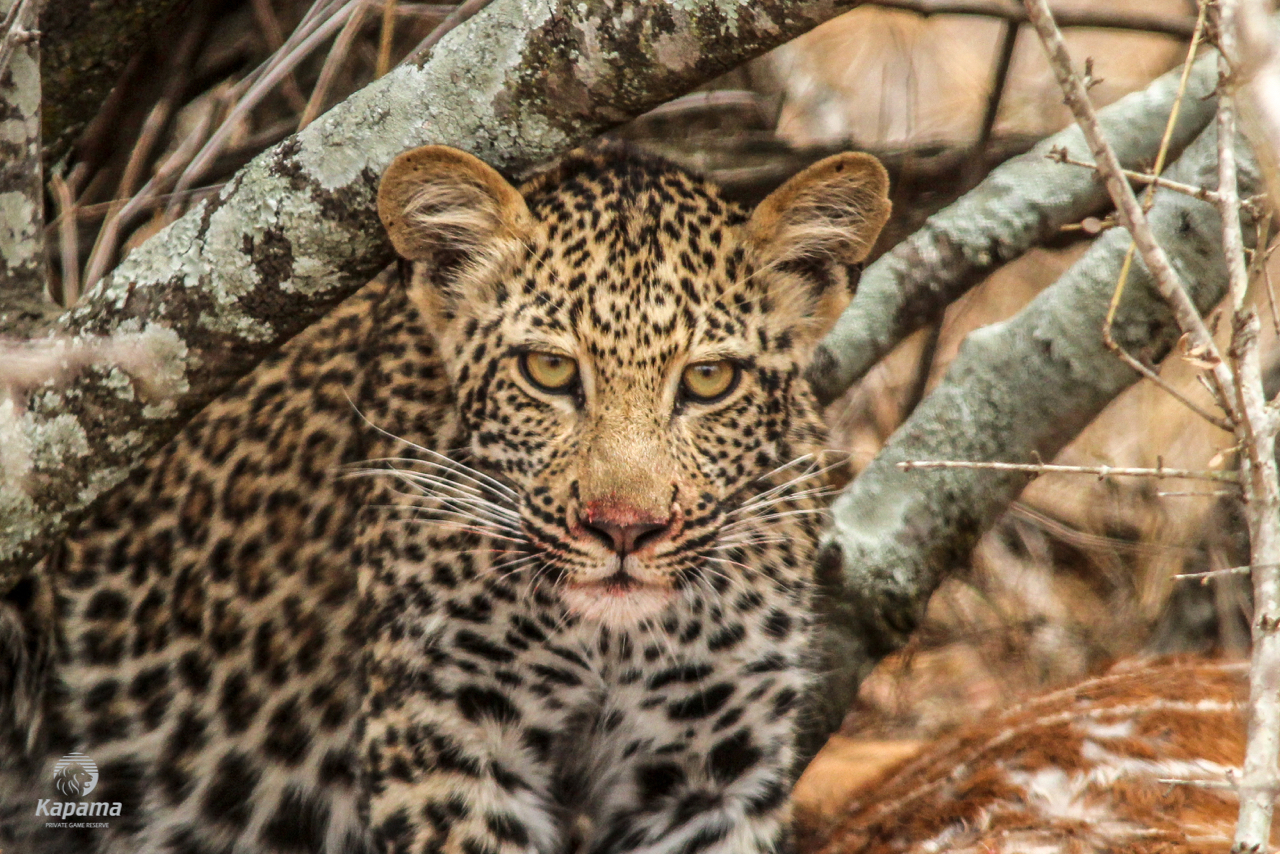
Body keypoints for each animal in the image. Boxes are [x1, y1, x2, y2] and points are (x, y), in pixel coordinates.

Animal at [0, 140, 890, 854]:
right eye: (549, 370)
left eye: (708, 381)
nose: (623, 530)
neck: (608, 646)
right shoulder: (442, 740)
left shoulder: (711, 771)